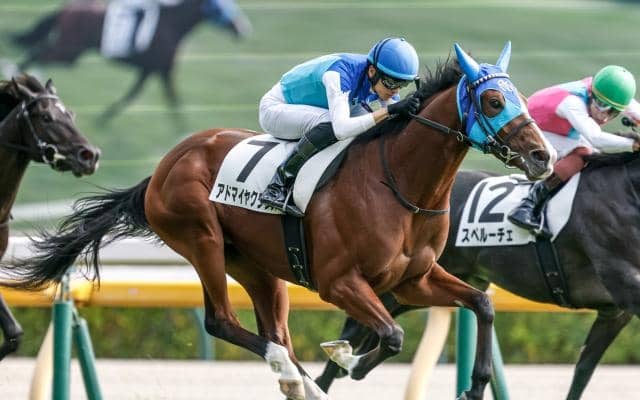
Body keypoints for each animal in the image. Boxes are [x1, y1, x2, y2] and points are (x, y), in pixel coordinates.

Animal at [11, 0, 252, 122]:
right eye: (220, 6)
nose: (242, 29)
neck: (172, 23)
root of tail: (66, 8)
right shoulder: (163, 69)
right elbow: (173, 99)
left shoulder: (151, 69)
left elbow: (133, 95)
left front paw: (104, 118)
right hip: (69, 50)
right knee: (38, 53)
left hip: (71, 51)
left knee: (38, 52)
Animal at [316, 158, 640, 399]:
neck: (628, 193)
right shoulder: (625, 285)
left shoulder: (615, 312)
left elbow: (583, 371)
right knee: (355, 331)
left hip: (426, 287)